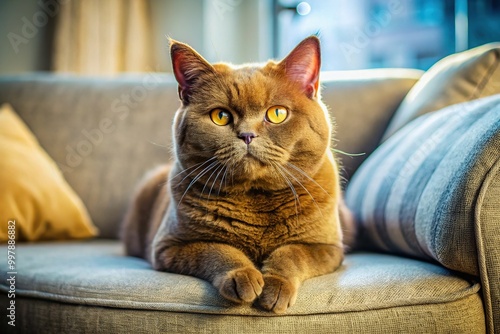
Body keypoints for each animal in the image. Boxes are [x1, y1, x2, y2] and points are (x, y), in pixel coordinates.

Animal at [121, 36, 356, 314]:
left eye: (277, 113)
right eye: (220, 116)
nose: (247, 135)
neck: (255, 199)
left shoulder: (328, 248)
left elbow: (292, 253)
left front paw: (275, 287)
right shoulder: (169, 247)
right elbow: (217, 250)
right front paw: (243, 277)